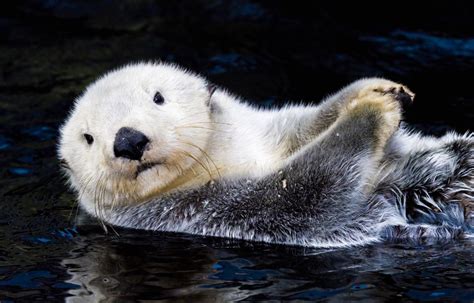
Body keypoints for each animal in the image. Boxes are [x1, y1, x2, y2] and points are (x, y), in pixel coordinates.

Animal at [59, 63, 474, 248]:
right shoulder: (201, 209)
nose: (128, 141)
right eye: (88, 138)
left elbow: (307, 122)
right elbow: (305, 189)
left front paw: (370, 90)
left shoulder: (274, 131)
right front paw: (370, 111)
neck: (223, 155)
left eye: (158, 97)